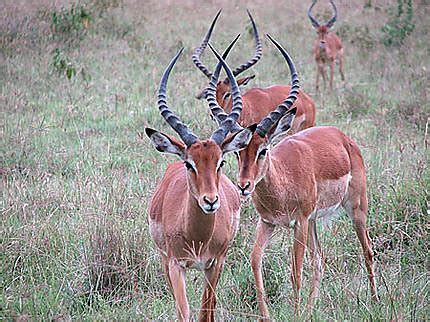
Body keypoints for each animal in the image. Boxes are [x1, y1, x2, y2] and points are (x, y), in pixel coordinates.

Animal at [146, 38, 256, 322]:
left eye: (221, 162)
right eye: (190, 163)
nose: (210, 201)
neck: (197, 236)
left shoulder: (214, 264)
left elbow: (206, 312)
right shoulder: (175, 265)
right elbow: (183, 312)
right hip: (164, 260)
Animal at [207, 34, 376, 316]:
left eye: (263, 150)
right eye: (238, 152)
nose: (244, 186)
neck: (282, 186)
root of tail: (342, 137)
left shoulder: (299, 223)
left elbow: (296, 272)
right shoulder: (268, 223)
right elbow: (255, 261)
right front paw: (266, 315)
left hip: (355, 209)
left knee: (367, 251)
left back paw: (374, 301)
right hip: (315, 221)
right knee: (319, 260)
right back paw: (310, 309)